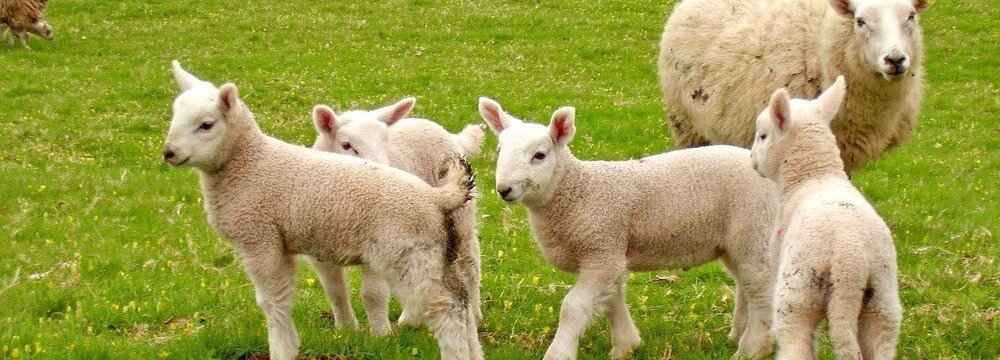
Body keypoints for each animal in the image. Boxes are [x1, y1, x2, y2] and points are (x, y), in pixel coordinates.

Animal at [308, 99, 488, 334]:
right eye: (346, 145)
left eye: (385, 141)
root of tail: (451, 136)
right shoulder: (318, 254)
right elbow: (335, 292)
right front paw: (346, 329)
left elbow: (373, 294)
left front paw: (381, 334)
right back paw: (410, 319)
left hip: (460, 214)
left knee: (470, 261)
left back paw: (474, 314)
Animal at [480, 97, 784, 358]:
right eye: (499, 151)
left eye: (540, 156)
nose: (503, 189)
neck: (577, 191)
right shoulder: (610, 252)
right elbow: (612, 301)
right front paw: (626, 345)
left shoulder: (601, 249)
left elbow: (573, 308)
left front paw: (559, 353)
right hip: (736, 240)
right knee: (746, 283)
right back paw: (738, 334)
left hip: (754, 227)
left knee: (761, 288)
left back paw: (753, 347)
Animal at [752, 77, 908, 358]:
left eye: (763, 135)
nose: (752, 160)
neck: (815, 175)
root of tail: (850, 259)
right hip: (883, 300)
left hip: (797, 294)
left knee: (796, 345)